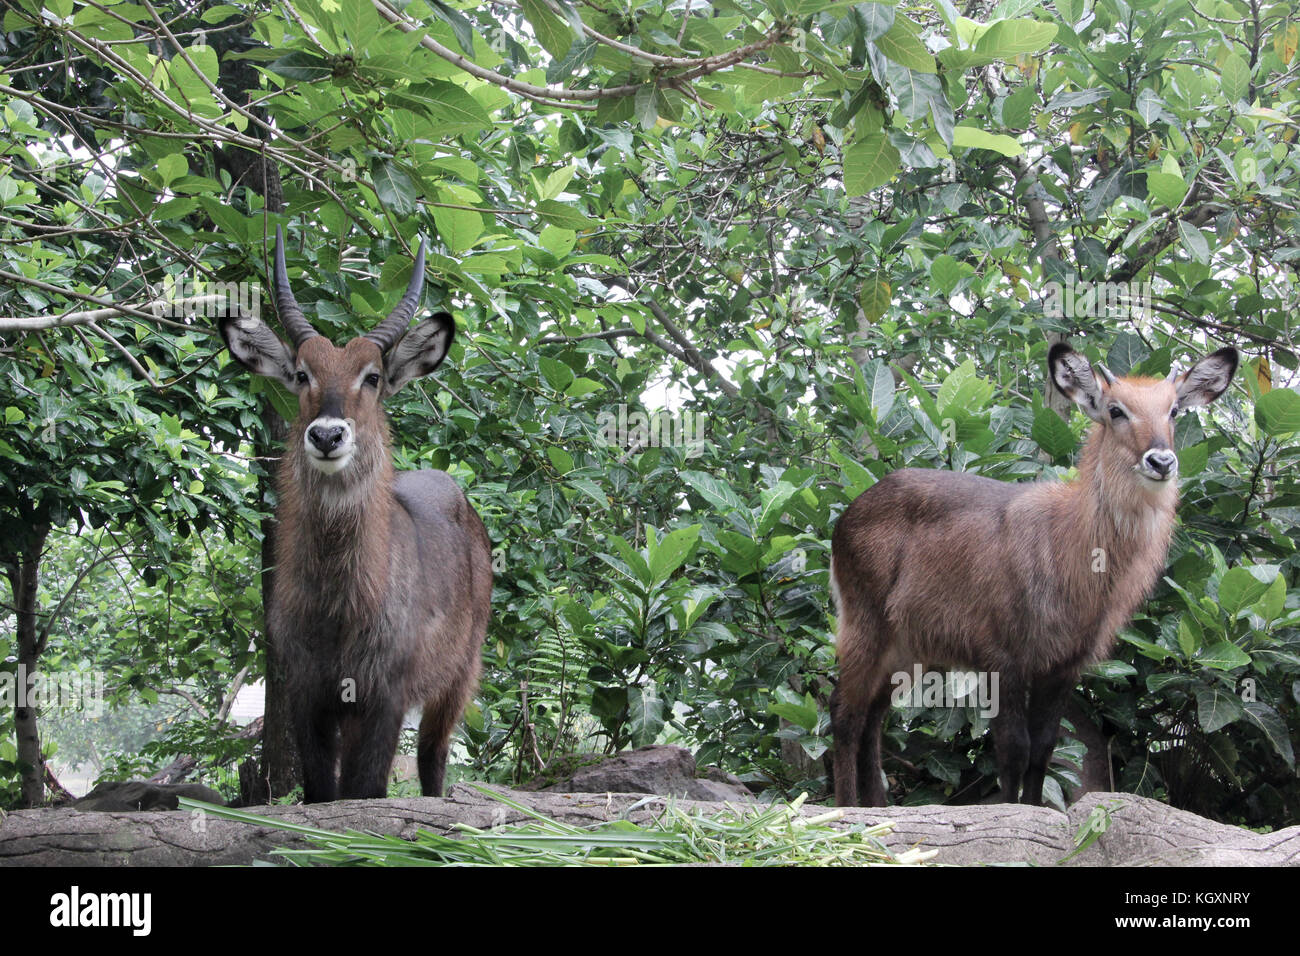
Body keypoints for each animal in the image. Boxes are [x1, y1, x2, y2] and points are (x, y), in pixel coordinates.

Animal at [220, 227, 488, 806]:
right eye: (302, 373)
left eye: (373, 376)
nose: (326, 435)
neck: (340, 604)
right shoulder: (307, 694)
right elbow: (325, 792)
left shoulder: (385, 696)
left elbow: (365, 789)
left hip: (459, 674)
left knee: (433, 756)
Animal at [832, 343, 1237, 806]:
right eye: (1116, 410)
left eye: (1173, 411)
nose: (1161, 461)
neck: (1073, 546)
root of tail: (847, 514)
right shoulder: (1003, 657)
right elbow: (1013, 748)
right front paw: (1013, 812)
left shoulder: (1064, 665)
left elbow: (1044, 748)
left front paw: (1035, 808)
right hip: (865, 623)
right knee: (844, 713)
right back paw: (847, 809)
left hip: (908, 645)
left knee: (872, 717)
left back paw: (879, 807)